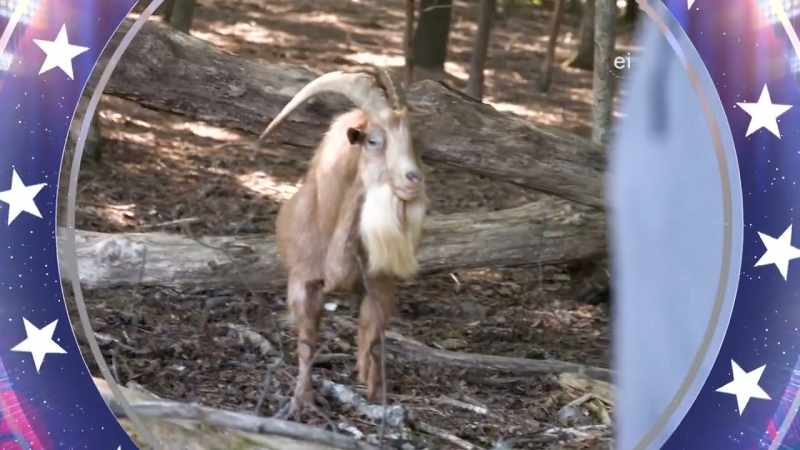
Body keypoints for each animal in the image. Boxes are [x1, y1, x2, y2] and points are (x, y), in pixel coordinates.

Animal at [259, 68, 428, 418]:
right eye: (374, 140)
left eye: (412, 141)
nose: (414, 180)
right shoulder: (303, 282)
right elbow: (307, 341)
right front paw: (303, 400)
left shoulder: (380, 284)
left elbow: (373, 338)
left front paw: (376, 394)